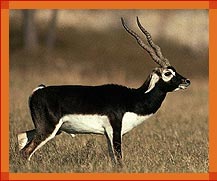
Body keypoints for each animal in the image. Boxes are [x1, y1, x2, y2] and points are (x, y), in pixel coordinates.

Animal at [18, 17, 190, 164]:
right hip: (48, 129)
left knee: (21, 138)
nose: (186, 81)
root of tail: (39, 90)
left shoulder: (108, 134)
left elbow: (113, 160)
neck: (133, 99)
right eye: (167, 73)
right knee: (25, 152)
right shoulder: (115, 130)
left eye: (174, 70)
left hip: (51, 129)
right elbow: (119, 160)